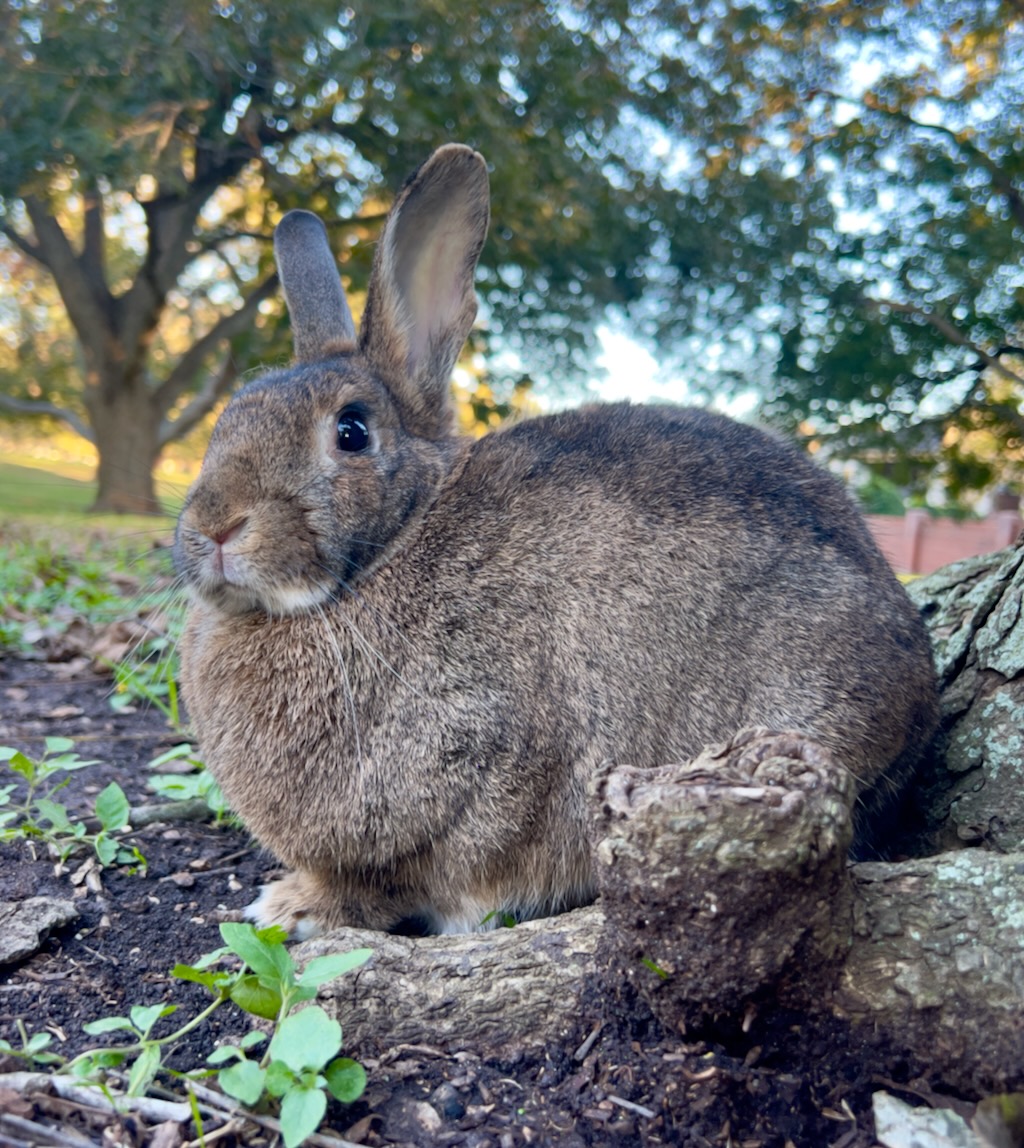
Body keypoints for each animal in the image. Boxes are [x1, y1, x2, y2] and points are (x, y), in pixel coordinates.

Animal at [175, 143, 936, 936]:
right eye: (228, 418)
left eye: (350, 432)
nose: (214, 525)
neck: (391, 547)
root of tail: (920, 693)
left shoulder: (471, 763)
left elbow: (402, 877)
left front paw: (292, 905)